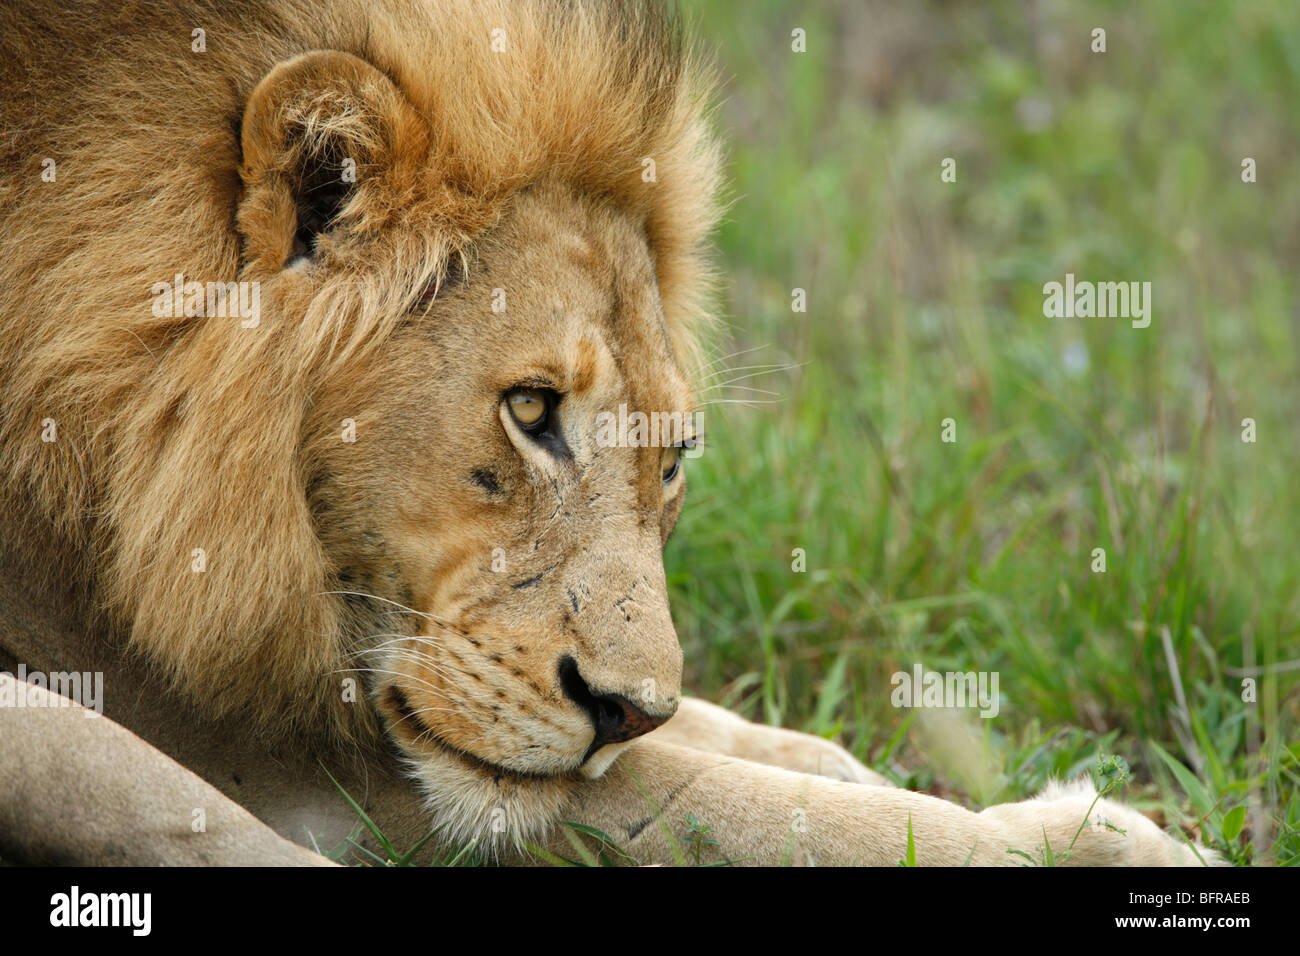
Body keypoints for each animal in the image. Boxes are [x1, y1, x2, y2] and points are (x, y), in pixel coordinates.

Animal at [0, 0, 1216, 868]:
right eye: (532, 409)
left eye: (670, 462)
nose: (624, 710)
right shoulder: (237, 734)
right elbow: (697, 797)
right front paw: (1080, 836)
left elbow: (718, 744)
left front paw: (839, 756)